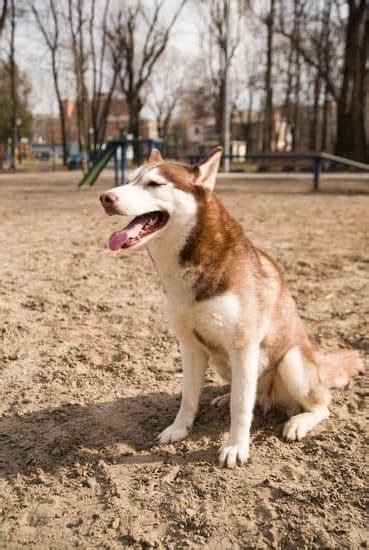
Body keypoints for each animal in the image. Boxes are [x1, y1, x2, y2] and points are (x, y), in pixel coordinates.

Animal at [100, 148, 362, 470]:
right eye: (127, 180)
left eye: (155, 184)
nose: (105, 197)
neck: (192, 263)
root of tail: (323, 367)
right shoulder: (190, 345)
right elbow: (189, 396)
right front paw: (179, 428)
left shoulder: (244, 346)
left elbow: (240, 407)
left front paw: (236, 446)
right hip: (221, 361)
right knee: (249, 392)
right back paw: (226, 396)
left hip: (291, 362)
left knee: (320, 405)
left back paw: (299, 421)